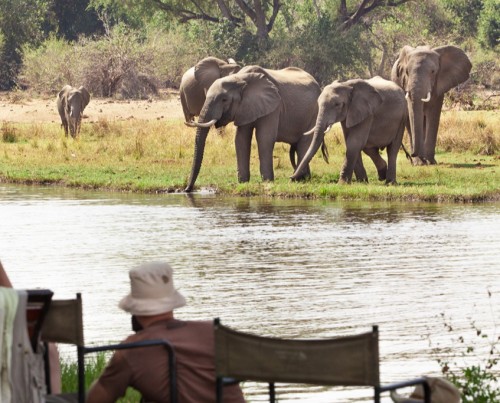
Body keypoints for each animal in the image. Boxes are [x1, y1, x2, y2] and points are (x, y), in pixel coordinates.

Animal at [184, 66, 320, 193]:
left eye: (224, 100)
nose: (187, 189)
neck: (240, 79)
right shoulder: (245, 108)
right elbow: (241, 139)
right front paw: (243, 182)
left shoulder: (274, 106)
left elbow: (264, 138)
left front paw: (267, 181)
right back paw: (303, 178)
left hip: (315, 113)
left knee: (304, 144)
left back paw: (301, 179)